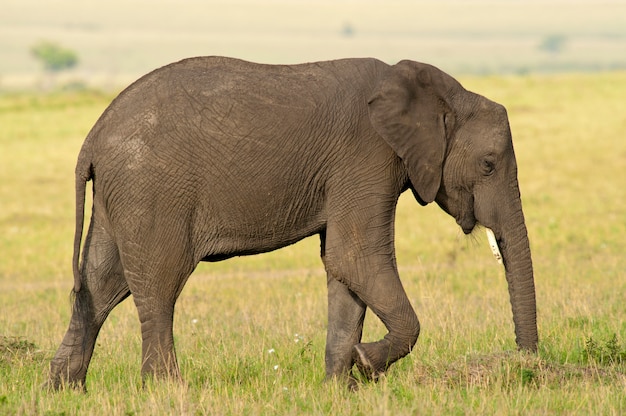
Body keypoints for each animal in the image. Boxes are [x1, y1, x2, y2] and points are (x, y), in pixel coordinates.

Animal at [48, 56, 536, 390]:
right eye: (489, 164)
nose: (527, 364)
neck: (435, 90)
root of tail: (92, 137)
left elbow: (342, 268)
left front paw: (341, 387)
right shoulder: (367, 156)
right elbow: (355, 256)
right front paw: (366, 365)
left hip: (122, 196)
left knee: (101, 283)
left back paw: (65, 391)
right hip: (152, 191)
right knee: (158, 287)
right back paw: (168, 392)